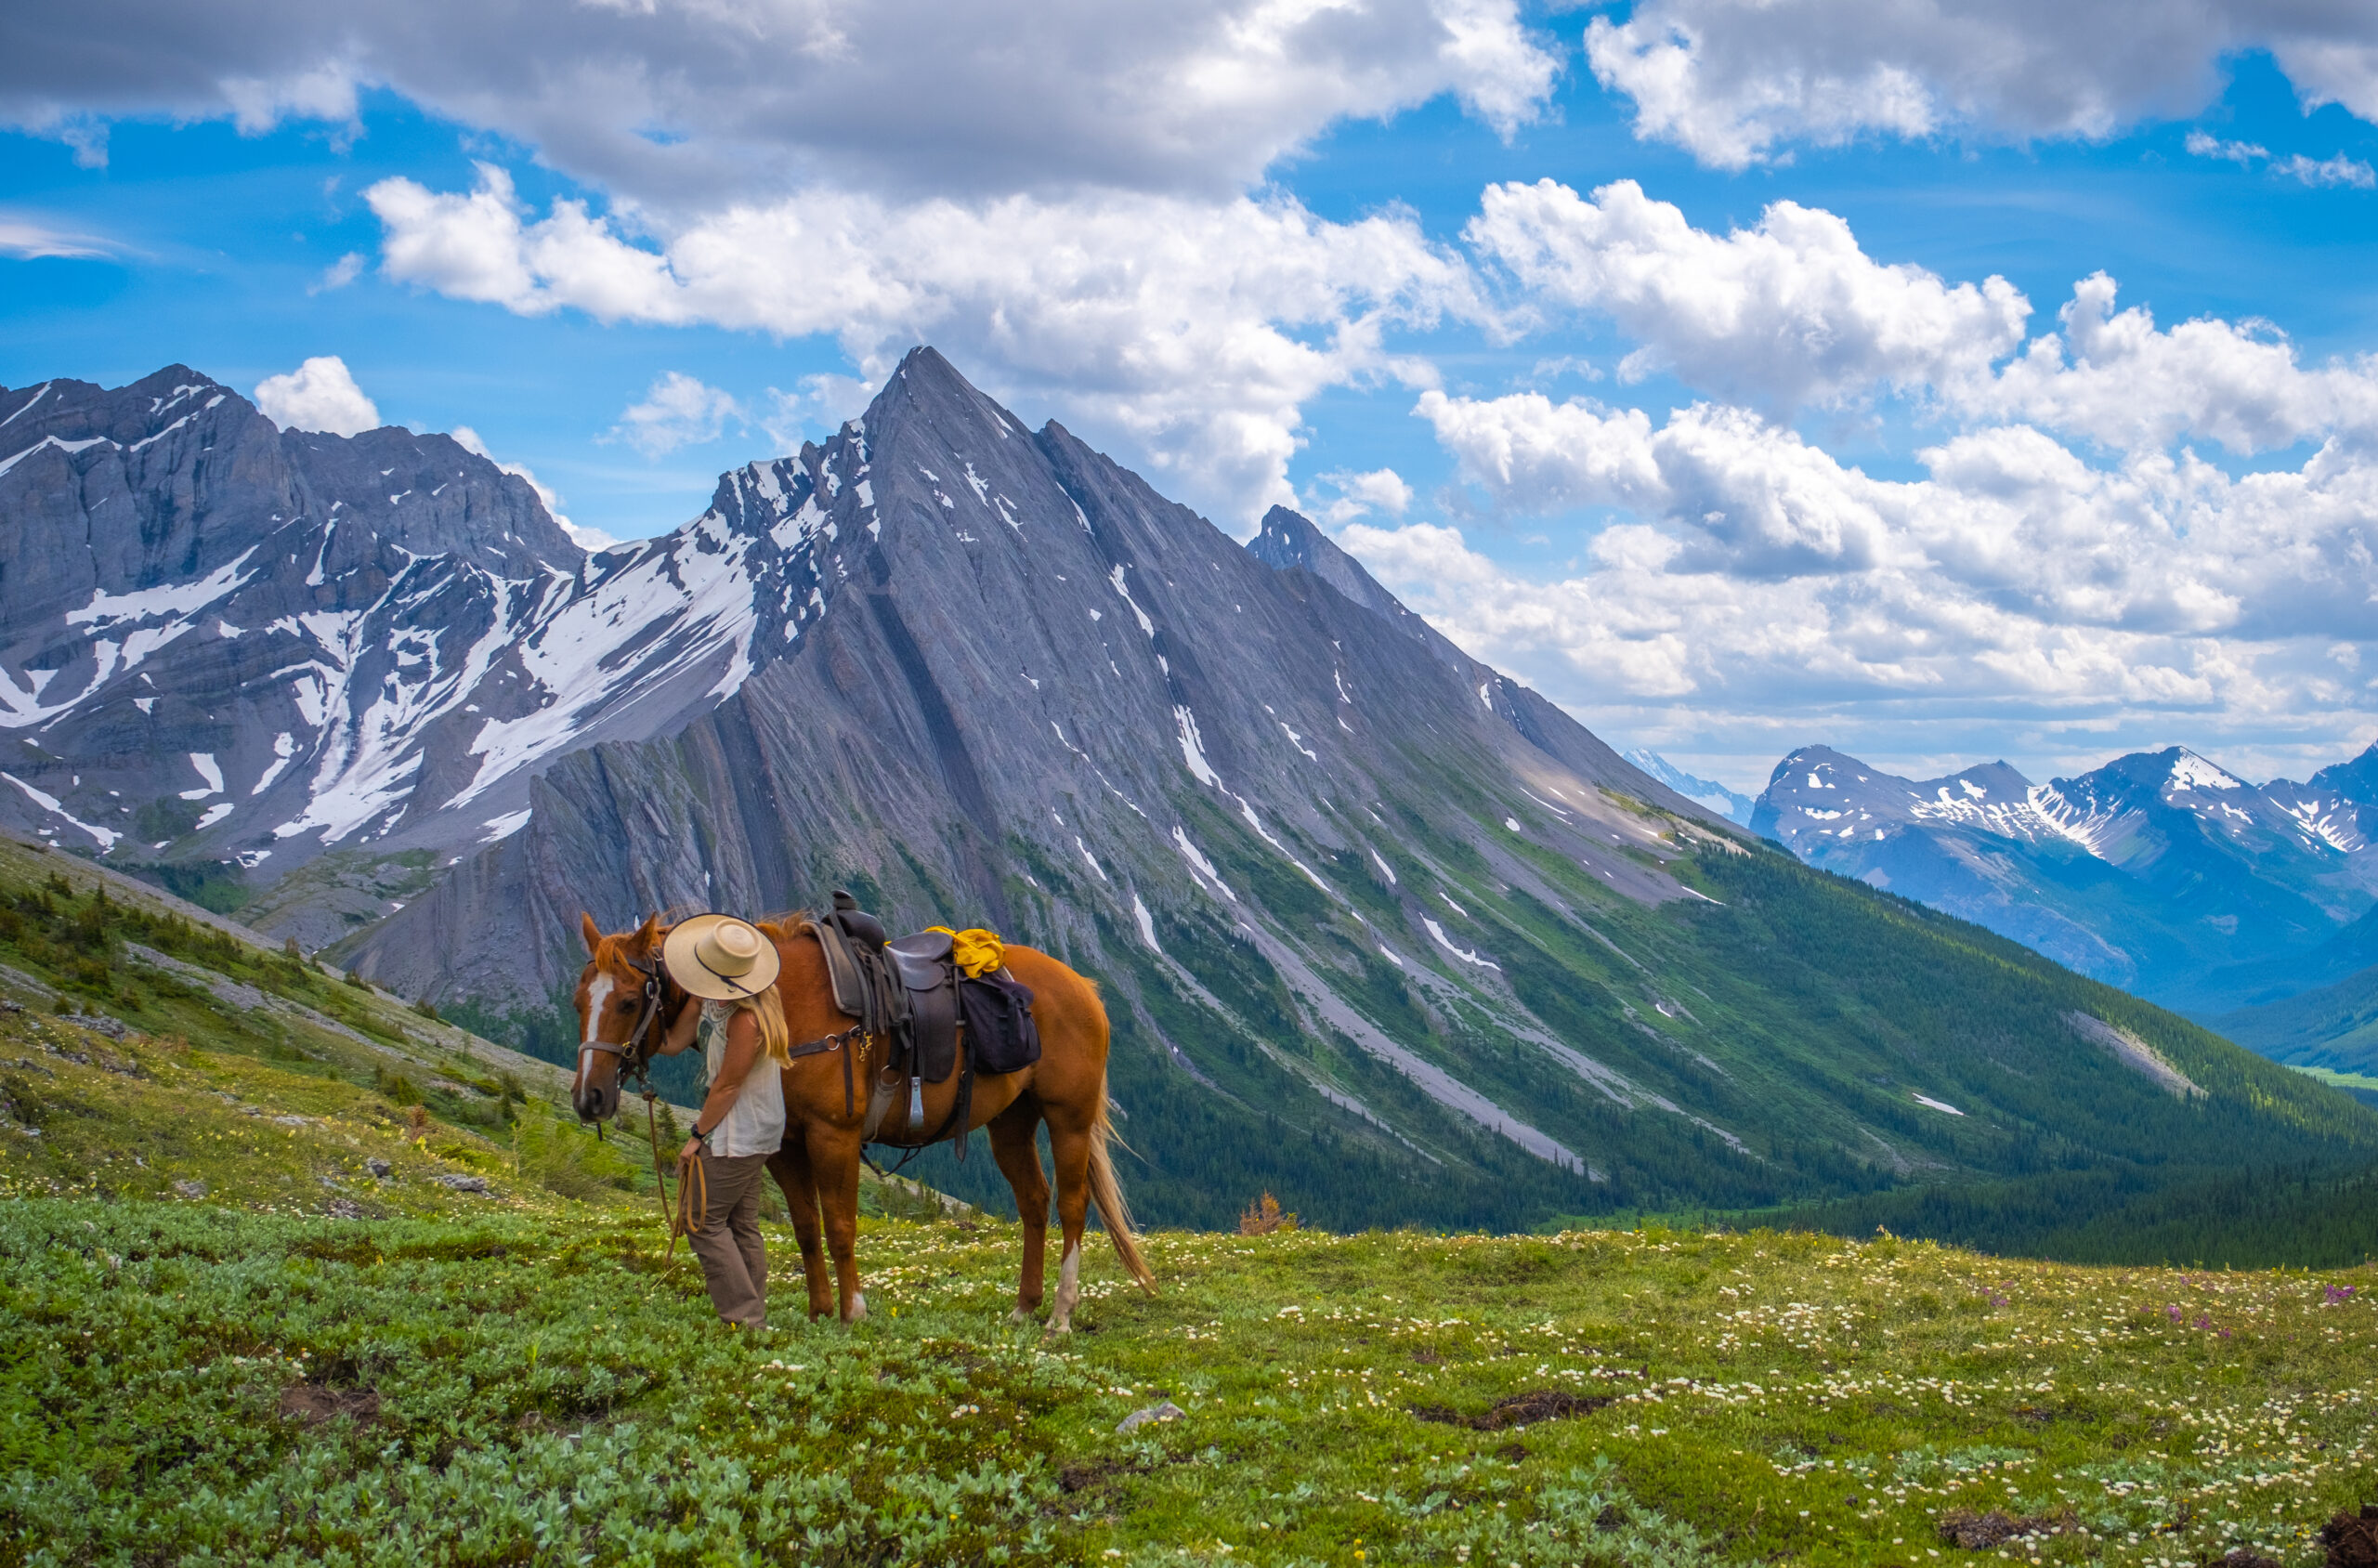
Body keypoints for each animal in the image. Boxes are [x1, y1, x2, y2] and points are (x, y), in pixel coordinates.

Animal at [561, 913, 1145, 1332]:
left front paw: (852, 1312)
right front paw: (820, 1310)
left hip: (1069, 1119)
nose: (590, 1098)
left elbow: (841, 1227)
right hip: (1009, 1123)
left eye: (629, 1001)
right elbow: (805, 1228)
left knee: (1072, 1207)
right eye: (577, 1001)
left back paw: (1060, 1316)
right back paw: (1025, 1305)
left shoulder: (832, 1135)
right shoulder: (784, 1145)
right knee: (1034, 1202)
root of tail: (1081, 986)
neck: (787, 1006)